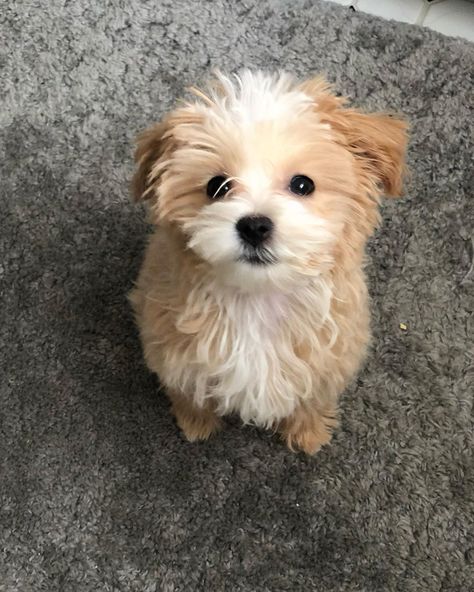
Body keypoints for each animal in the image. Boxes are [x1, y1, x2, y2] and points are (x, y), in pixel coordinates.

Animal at [130, 71, 408, 456]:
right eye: (217, 186)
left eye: (303, 184)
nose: (254, 226)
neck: (259, 299)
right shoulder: (172, 352)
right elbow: (189, 392)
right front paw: (196, 423)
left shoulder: (330, 360)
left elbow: (312, 401)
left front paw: (308, 435)